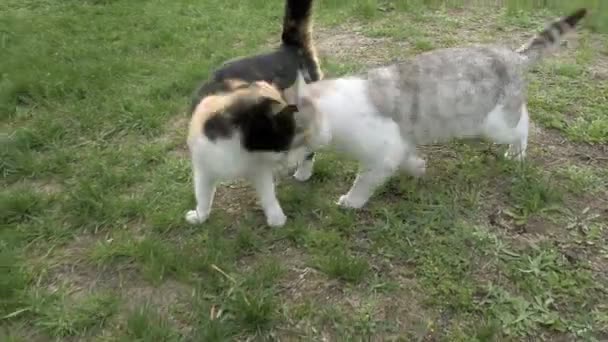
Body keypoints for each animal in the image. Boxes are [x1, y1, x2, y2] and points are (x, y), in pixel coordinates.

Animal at [185, 0, 326, 227]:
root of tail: (286, 49)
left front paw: (277, 220)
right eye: (281, 142)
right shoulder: (203, 166)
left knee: (310, 149)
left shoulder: (260, 169)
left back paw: (303, 172)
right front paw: (199, 216)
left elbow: (267, 195)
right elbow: (203, 195)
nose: (286, 157)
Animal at [286, 8, 588, 208]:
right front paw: (418, 167)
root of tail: (514, 56)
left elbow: (364, 182)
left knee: (522, 125)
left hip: (494, 125)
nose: (285, 167)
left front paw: (351, 201)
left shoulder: (381, 153)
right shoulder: (399, 143)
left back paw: (517, 154)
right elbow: (408, 159)